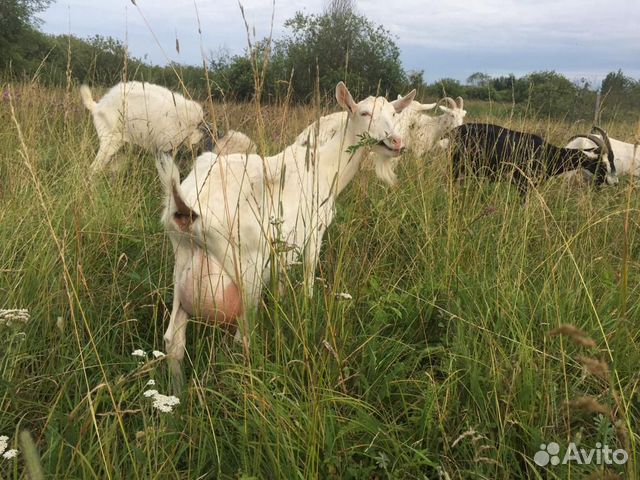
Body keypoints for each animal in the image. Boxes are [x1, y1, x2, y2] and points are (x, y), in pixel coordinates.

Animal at [448, 123, 616, 194]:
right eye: (603, 164)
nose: (613, 182)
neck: (549, 153)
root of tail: (456, 130)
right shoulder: (523, 183)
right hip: (457, 165)